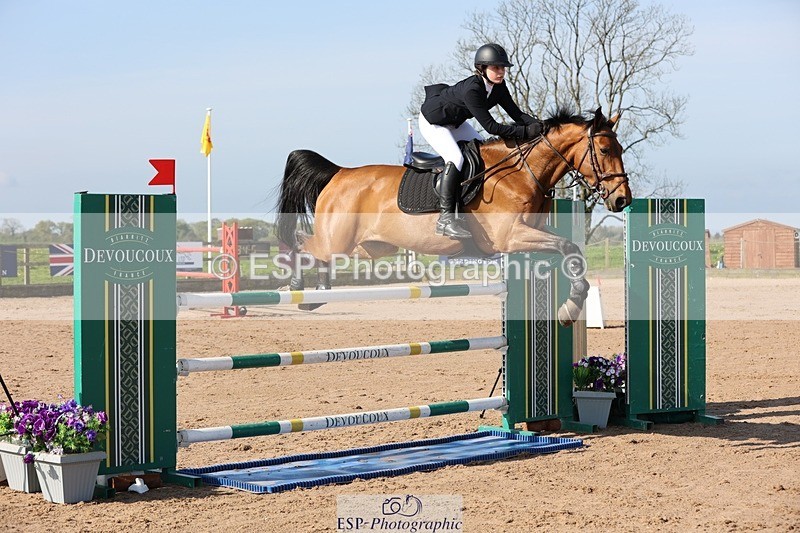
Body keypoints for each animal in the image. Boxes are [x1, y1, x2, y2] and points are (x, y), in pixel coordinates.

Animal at [275, 107, 631, 326]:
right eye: (604, 150)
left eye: (621, 150)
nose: (622, 199)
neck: (523, 172)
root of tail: (339, 173)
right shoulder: (510, 237)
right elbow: (569, 248)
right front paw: (572, 305)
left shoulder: (528, 236)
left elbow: (570, 251)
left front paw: (572, 302)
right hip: (339, 239)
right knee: (303, 244)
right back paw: (299, 288)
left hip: (371, 246)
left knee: (317, 250)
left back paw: (317, 294)